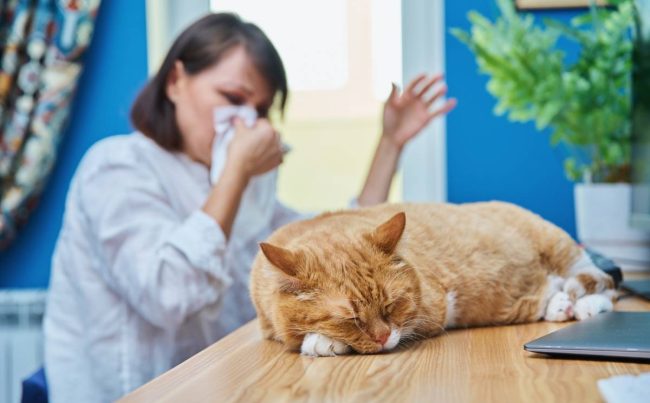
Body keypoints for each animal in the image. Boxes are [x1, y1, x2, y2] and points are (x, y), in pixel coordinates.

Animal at [247, 202, 612, 356]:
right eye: (351, 319)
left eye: (392, 306)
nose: (383, 338)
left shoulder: (434, 311)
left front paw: (321, 342)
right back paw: (561, 303)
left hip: (560, 246)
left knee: (600, 283)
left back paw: (583, 304)